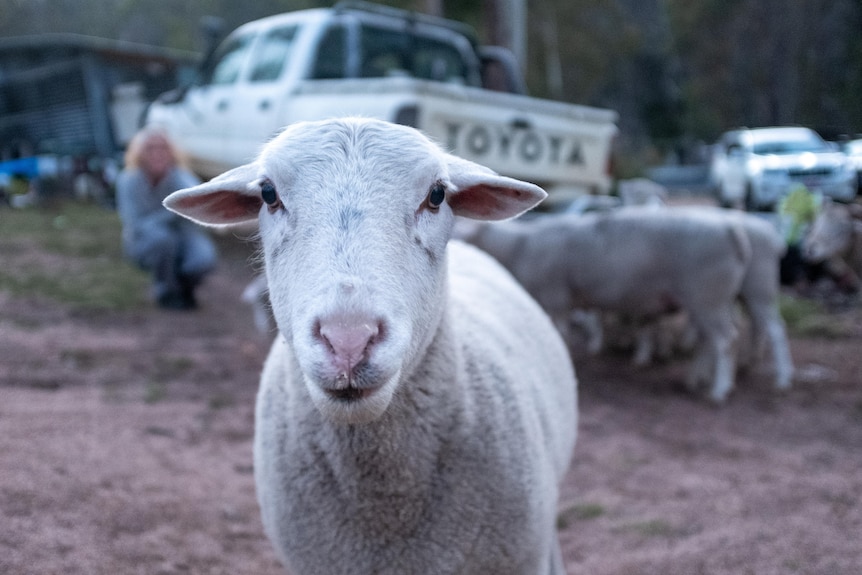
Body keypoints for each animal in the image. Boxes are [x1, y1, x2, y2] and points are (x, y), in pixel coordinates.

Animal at [460, 208, 776, 404]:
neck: (519, 246)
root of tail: (730, 229)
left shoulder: (555, 298)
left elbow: (559, 336)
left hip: (708, 296)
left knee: (726, 341)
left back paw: (719, 390)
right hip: (708, 300)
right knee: (710, 341)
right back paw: (695, 379)